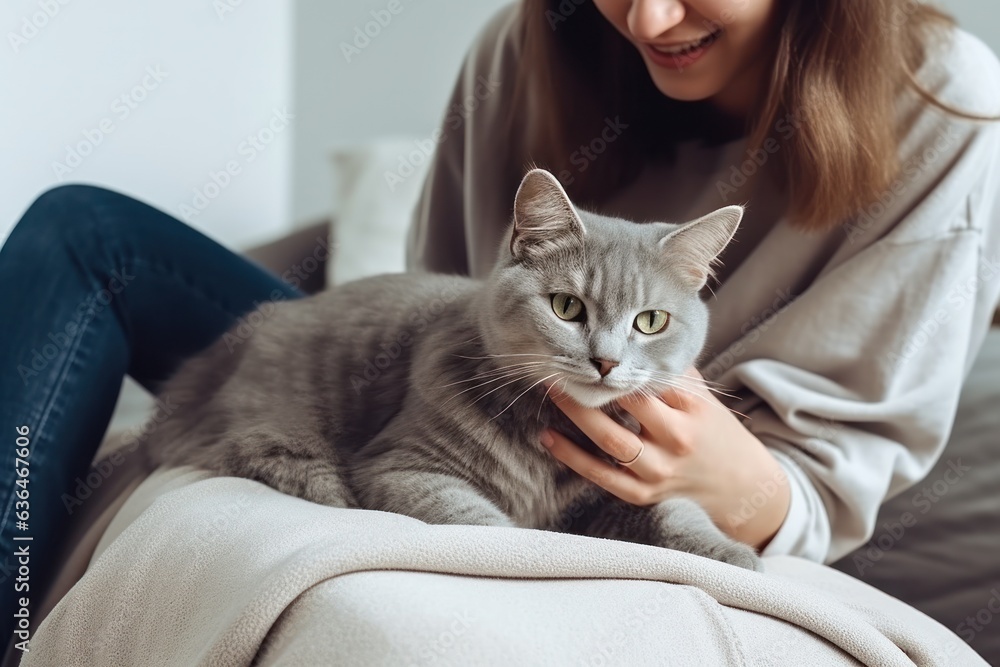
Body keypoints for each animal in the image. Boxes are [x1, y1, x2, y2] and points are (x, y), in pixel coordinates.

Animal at [148, 167, 760, 568]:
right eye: (567, 307)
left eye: (651, 321)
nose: (606, 361)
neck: (551, 438)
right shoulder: (404, 468)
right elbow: (491, 529)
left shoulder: (623, 486)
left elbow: (676, 511)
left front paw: (735, 555)